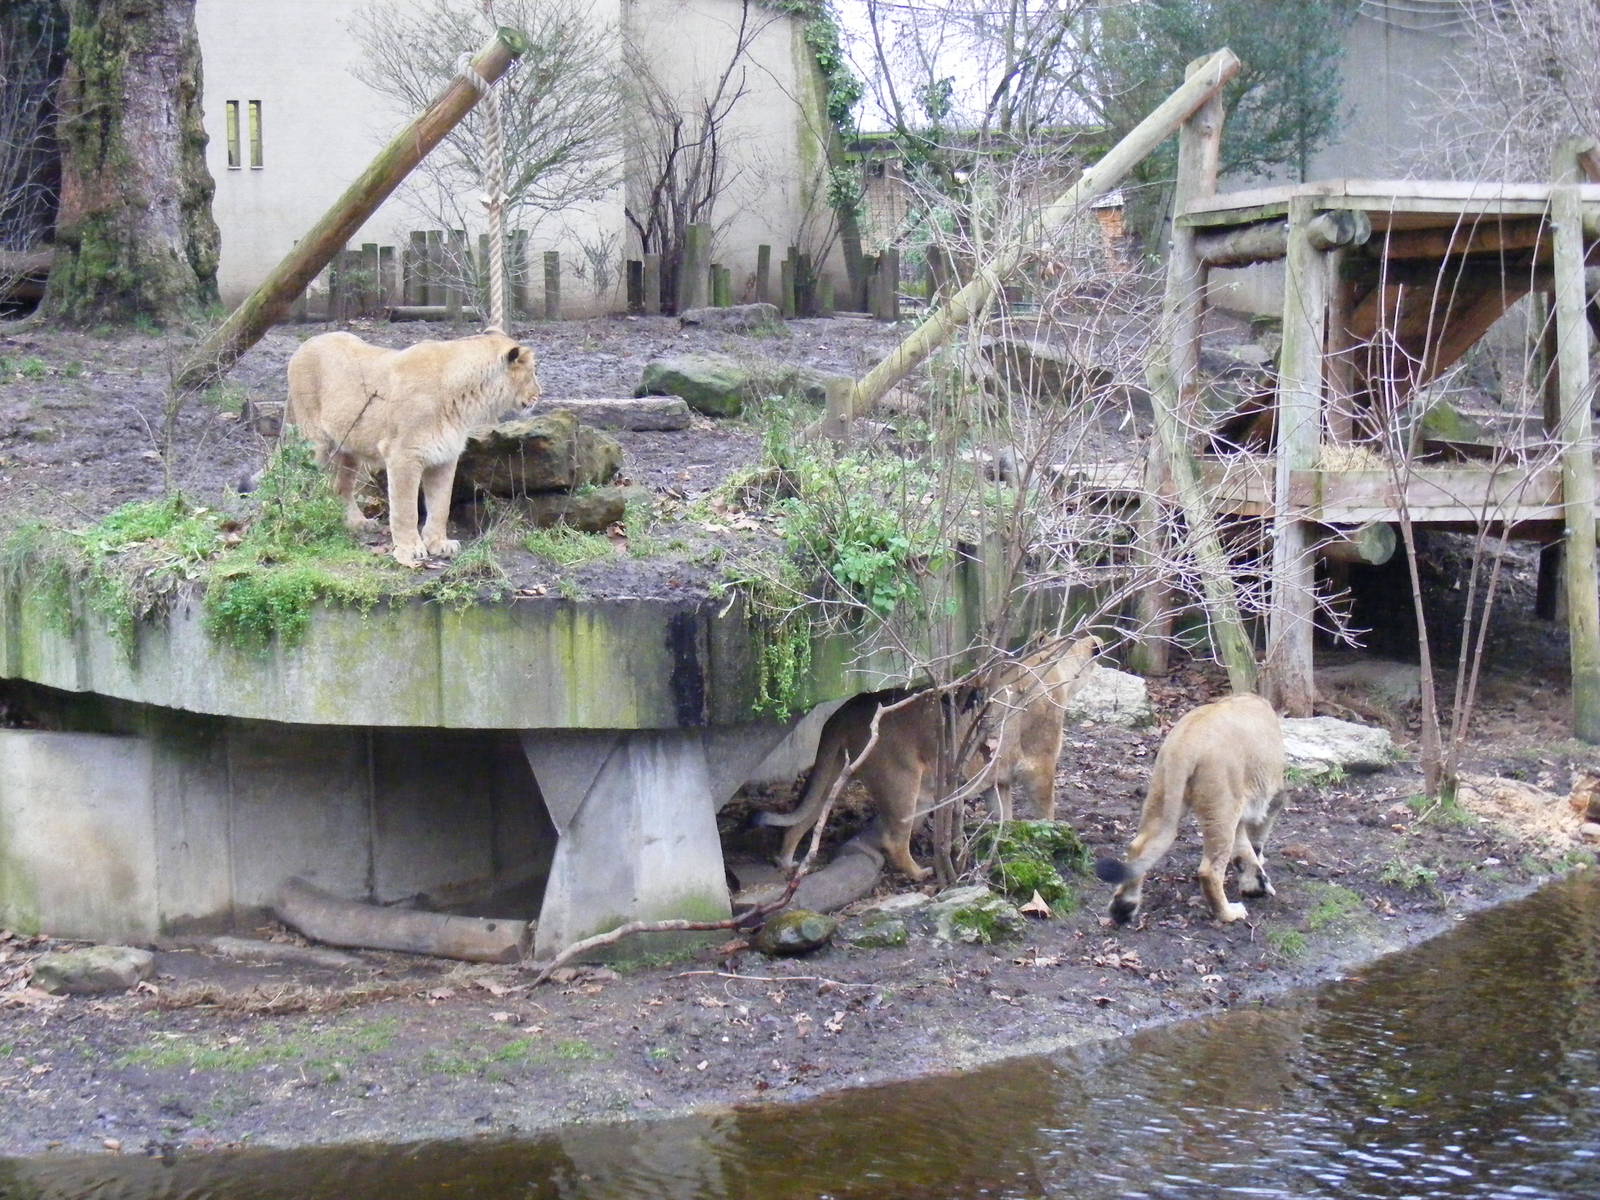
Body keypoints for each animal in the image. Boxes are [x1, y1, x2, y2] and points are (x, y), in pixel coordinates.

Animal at [284, 330, 541, 566]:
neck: (467, 399)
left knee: (340, 486)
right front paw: (410, 550)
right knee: (301, 478)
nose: (539, 394)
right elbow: (406, 508)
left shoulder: (445, 457)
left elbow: (441, 504)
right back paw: (303, 514)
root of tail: (306, 343)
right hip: (314, 440)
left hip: (348, 448)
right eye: (533, 371)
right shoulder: (402, 455)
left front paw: (439, 543)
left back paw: (357, 523)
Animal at [1095, 693, 1285, 926]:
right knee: (1210, 870)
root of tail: (1185, 743)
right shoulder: (1269, 799)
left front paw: (1255, 885)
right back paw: (1229, 914)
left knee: (1139, 847)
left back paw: (1123, 908)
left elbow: (1243, 849)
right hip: (1221, 808)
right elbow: (1254, 843)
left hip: (1163, 797)